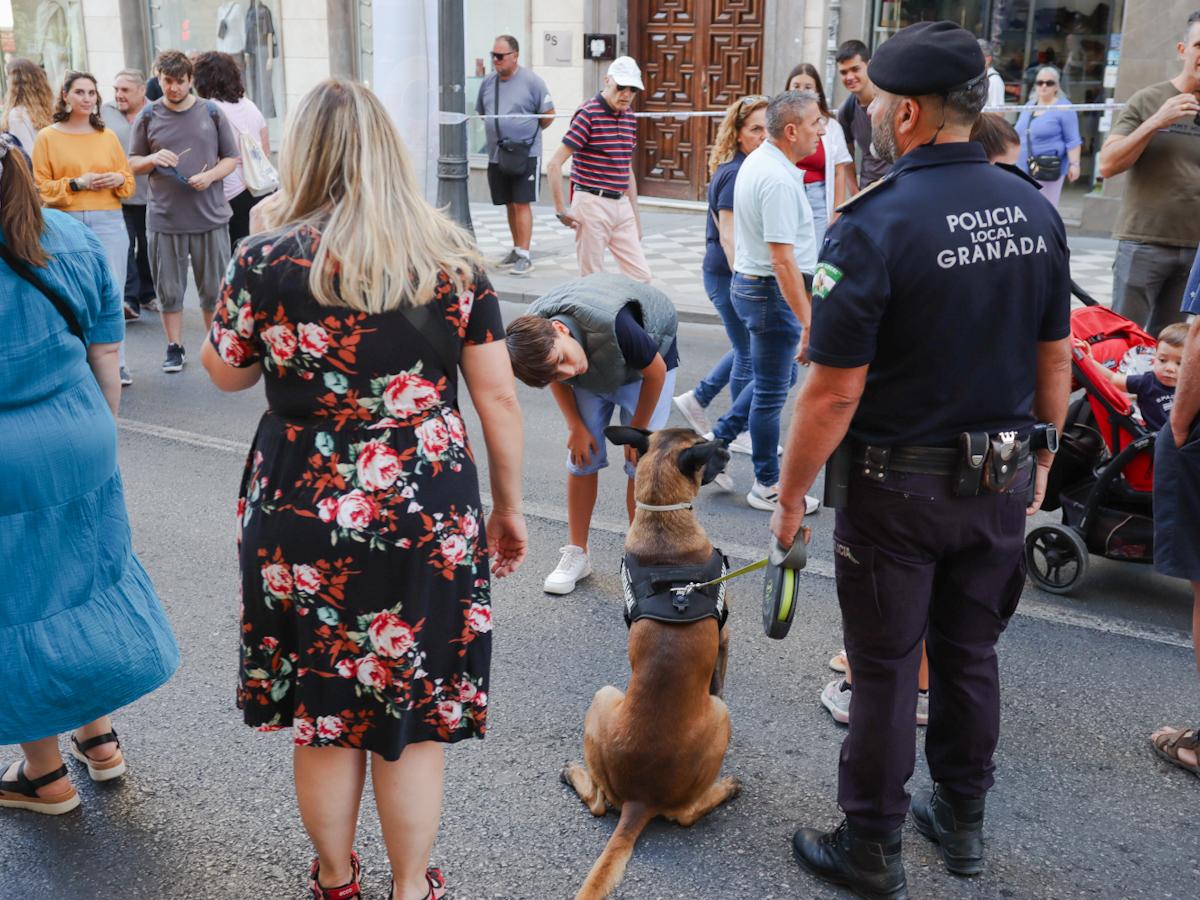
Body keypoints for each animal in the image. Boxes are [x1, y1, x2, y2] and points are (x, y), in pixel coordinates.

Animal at [561, 427, 739, 900]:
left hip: (603, 701)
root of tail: (642, 800)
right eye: (706, 447)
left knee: (599, 804)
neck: (663, 519)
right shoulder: (725, 641)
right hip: (714, 717)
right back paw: (724, 789)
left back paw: (574, 773)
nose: (728, 449)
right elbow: (719, 680)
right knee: (685, 814)